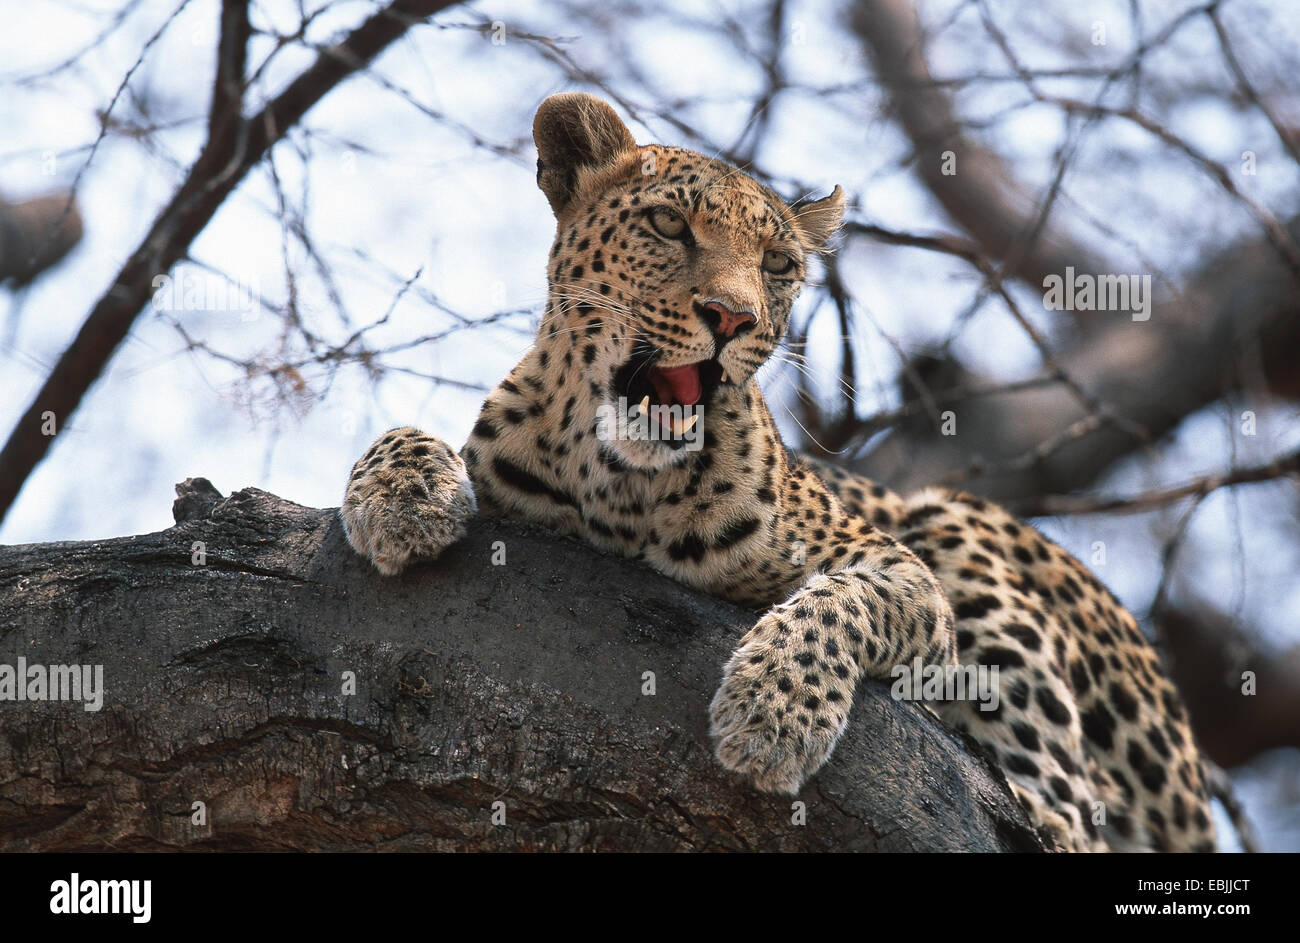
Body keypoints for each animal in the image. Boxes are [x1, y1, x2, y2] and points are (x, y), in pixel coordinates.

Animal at [340, 92, 1217, 852]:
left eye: (778, 264)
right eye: (667, 224)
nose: (732, 318)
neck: (622, 483)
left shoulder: (904, 573)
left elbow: (840, 598)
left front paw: (773, 711)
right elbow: (401, 433)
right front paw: (403, 497)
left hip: (959, 529)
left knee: (1064, 809)